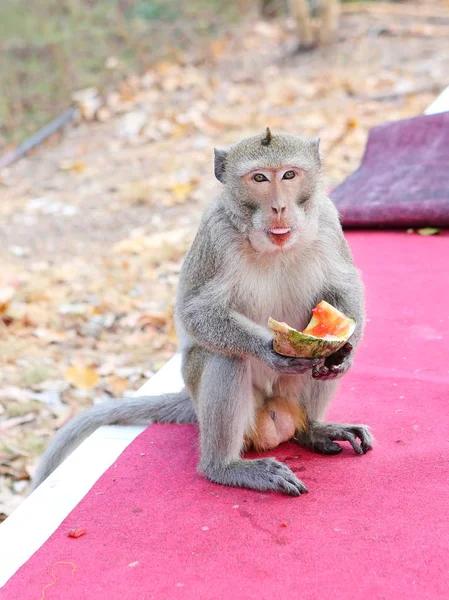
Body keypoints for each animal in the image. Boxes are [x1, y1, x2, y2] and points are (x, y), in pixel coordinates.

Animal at [31, 129, 372, 494]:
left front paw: (345, 353)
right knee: (227, 357)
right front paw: (269, 349)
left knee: (314, 372)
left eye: (289, 175)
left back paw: (313, 429)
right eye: (260, 178)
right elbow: (196, 311)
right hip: (210, 393)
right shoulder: (215, 234)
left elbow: (344, 286)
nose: (279, 207)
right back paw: (225, 466)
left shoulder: (327, 220)